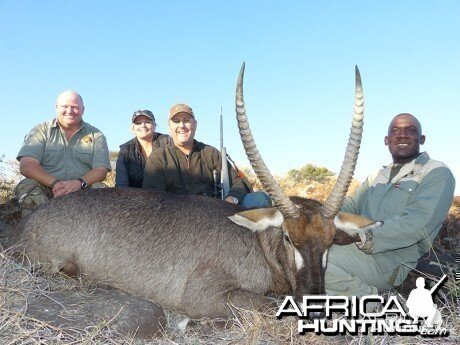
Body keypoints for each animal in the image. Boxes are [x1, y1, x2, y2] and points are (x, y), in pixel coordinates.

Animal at [7, 63, 378, 318]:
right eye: (288, 236)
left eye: (330, 241)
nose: (314, 302)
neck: (255, 242)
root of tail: (29, 223)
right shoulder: (204, 297)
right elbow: (266, 306)